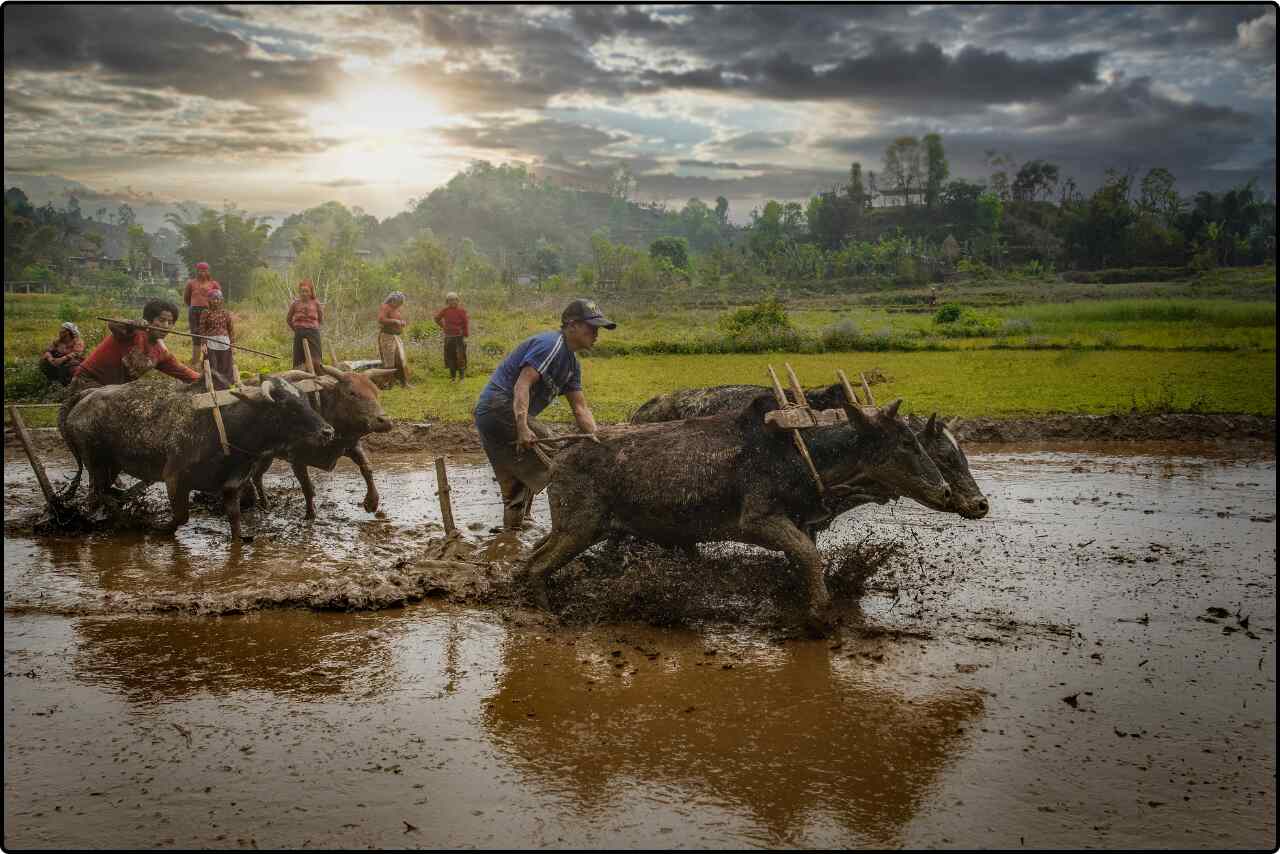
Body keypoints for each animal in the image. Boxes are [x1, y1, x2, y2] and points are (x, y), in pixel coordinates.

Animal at [60, 376, 332, 537]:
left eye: (306, 400)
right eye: (288, 406)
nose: (328, 432)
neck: (227, 428)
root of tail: (86, 395)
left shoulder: (232, 485)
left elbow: (234, 519)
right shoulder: (174, 479)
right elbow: (180, 517)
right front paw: (156, 528)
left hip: (111, 465)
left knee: (104, 493)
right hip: (94, 462)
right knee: (95, 496)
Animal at [247, 363, 391, 517]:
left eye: (376, 392)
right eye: (351, 393)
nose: (385, 421)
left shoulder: (352, 446)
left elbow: (367, 469)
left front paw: (372, 501)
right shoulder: (296, 458)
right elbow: (307, 487)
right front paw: (310, 514)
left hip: (267, 456)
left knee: (256, 476)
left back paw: (264, 503)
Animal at [519, 396, 952, 635]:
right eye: (906, 442)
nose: (945, 490)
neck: (799, 453)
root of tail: (558, 455)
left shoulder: (797, 524)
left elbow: (804, 559)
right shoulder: (759, 521)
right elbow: (810, 557)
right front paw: (818, 616)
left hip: (576, 528)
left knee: (532, 554)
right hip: (580, 529)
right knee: (538, 564)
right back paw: (543, 612)